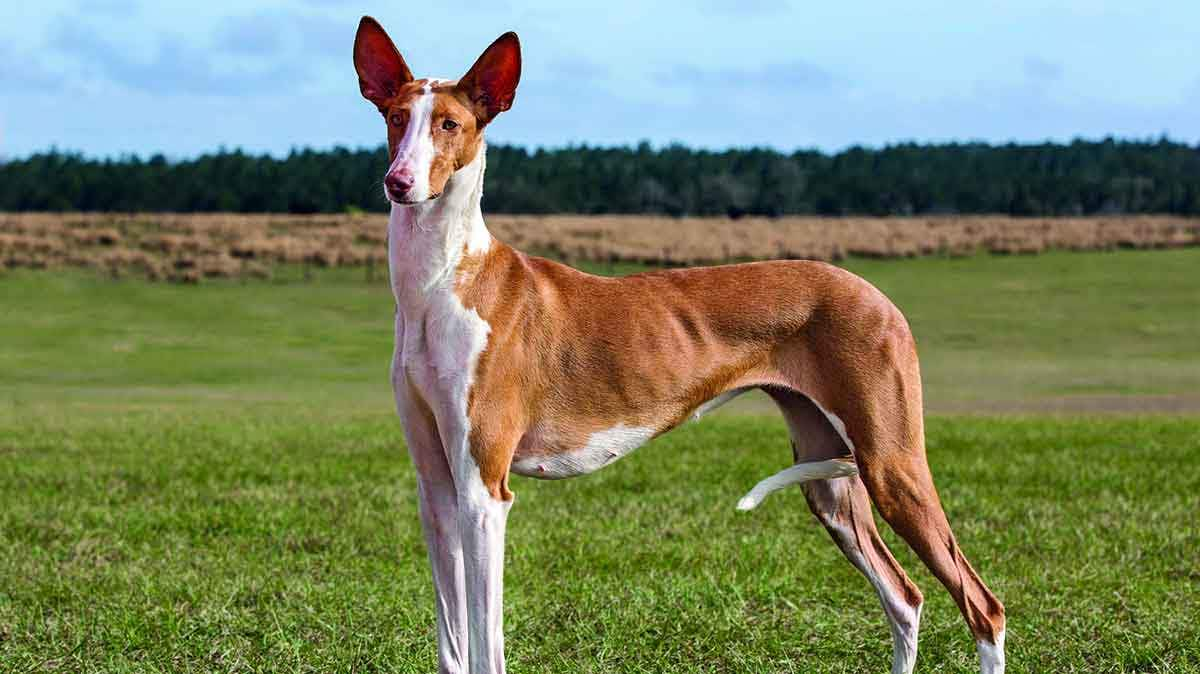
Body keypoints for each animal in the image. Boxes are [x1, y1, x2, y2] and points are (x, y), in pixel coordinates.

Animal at [352, 17, 1003, 671]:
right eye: (395, 118)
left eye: (449, 124)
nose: (399, 183)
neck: (442, 282)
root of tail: (877, 295)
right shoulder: (439, 490)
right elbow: (453, 643)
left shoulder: (485, 490)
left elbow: (486, 645)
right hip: (831, 484)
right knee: (905, 597)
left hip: (892, 464)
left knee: (983, 605)